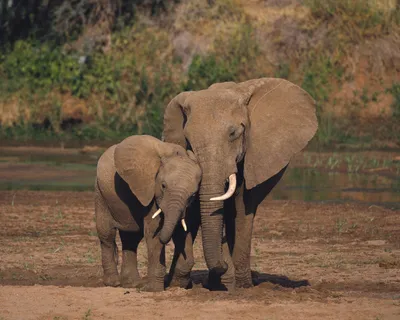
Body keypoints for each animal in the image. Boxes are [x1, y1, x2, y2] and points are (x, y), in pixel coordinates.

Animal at [95, 134, 202, 292]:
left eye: (193, 195)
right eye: (163, 186)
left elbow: (183, 231)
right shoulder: (149, 191)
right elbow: (153, 234)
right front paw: (153, 290)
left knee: (131, 238)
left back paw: (132, 284)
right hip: (101, 193)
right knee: (107, 235)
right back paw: (114, 283)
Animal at [162, 77, 318, 290]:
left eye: (233, 133)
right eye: (188, 140)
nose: (223, 265)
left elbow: (243, 207)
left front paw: (238, 284)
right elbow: (194, 210)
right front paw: (181, 281)